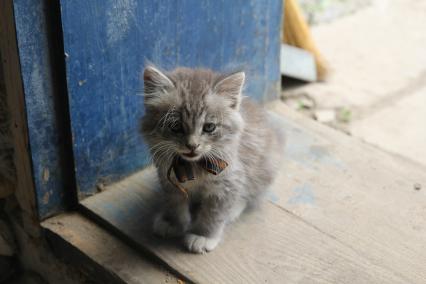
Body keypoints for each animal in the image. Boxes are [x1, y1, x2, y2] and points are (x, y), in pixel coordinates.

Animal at [140, 66, 284, 253]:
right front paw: (172, 222)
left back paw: (234, 210)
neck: (192, 166)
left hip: (262, 170)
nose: (192, 145)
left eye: (209, 127)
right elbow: (174, 203)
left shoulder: (227, 182)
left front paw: (203, 236)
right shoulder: (168, 179)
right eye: (176, 126)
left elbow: (213, 214)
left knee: (249, 195)